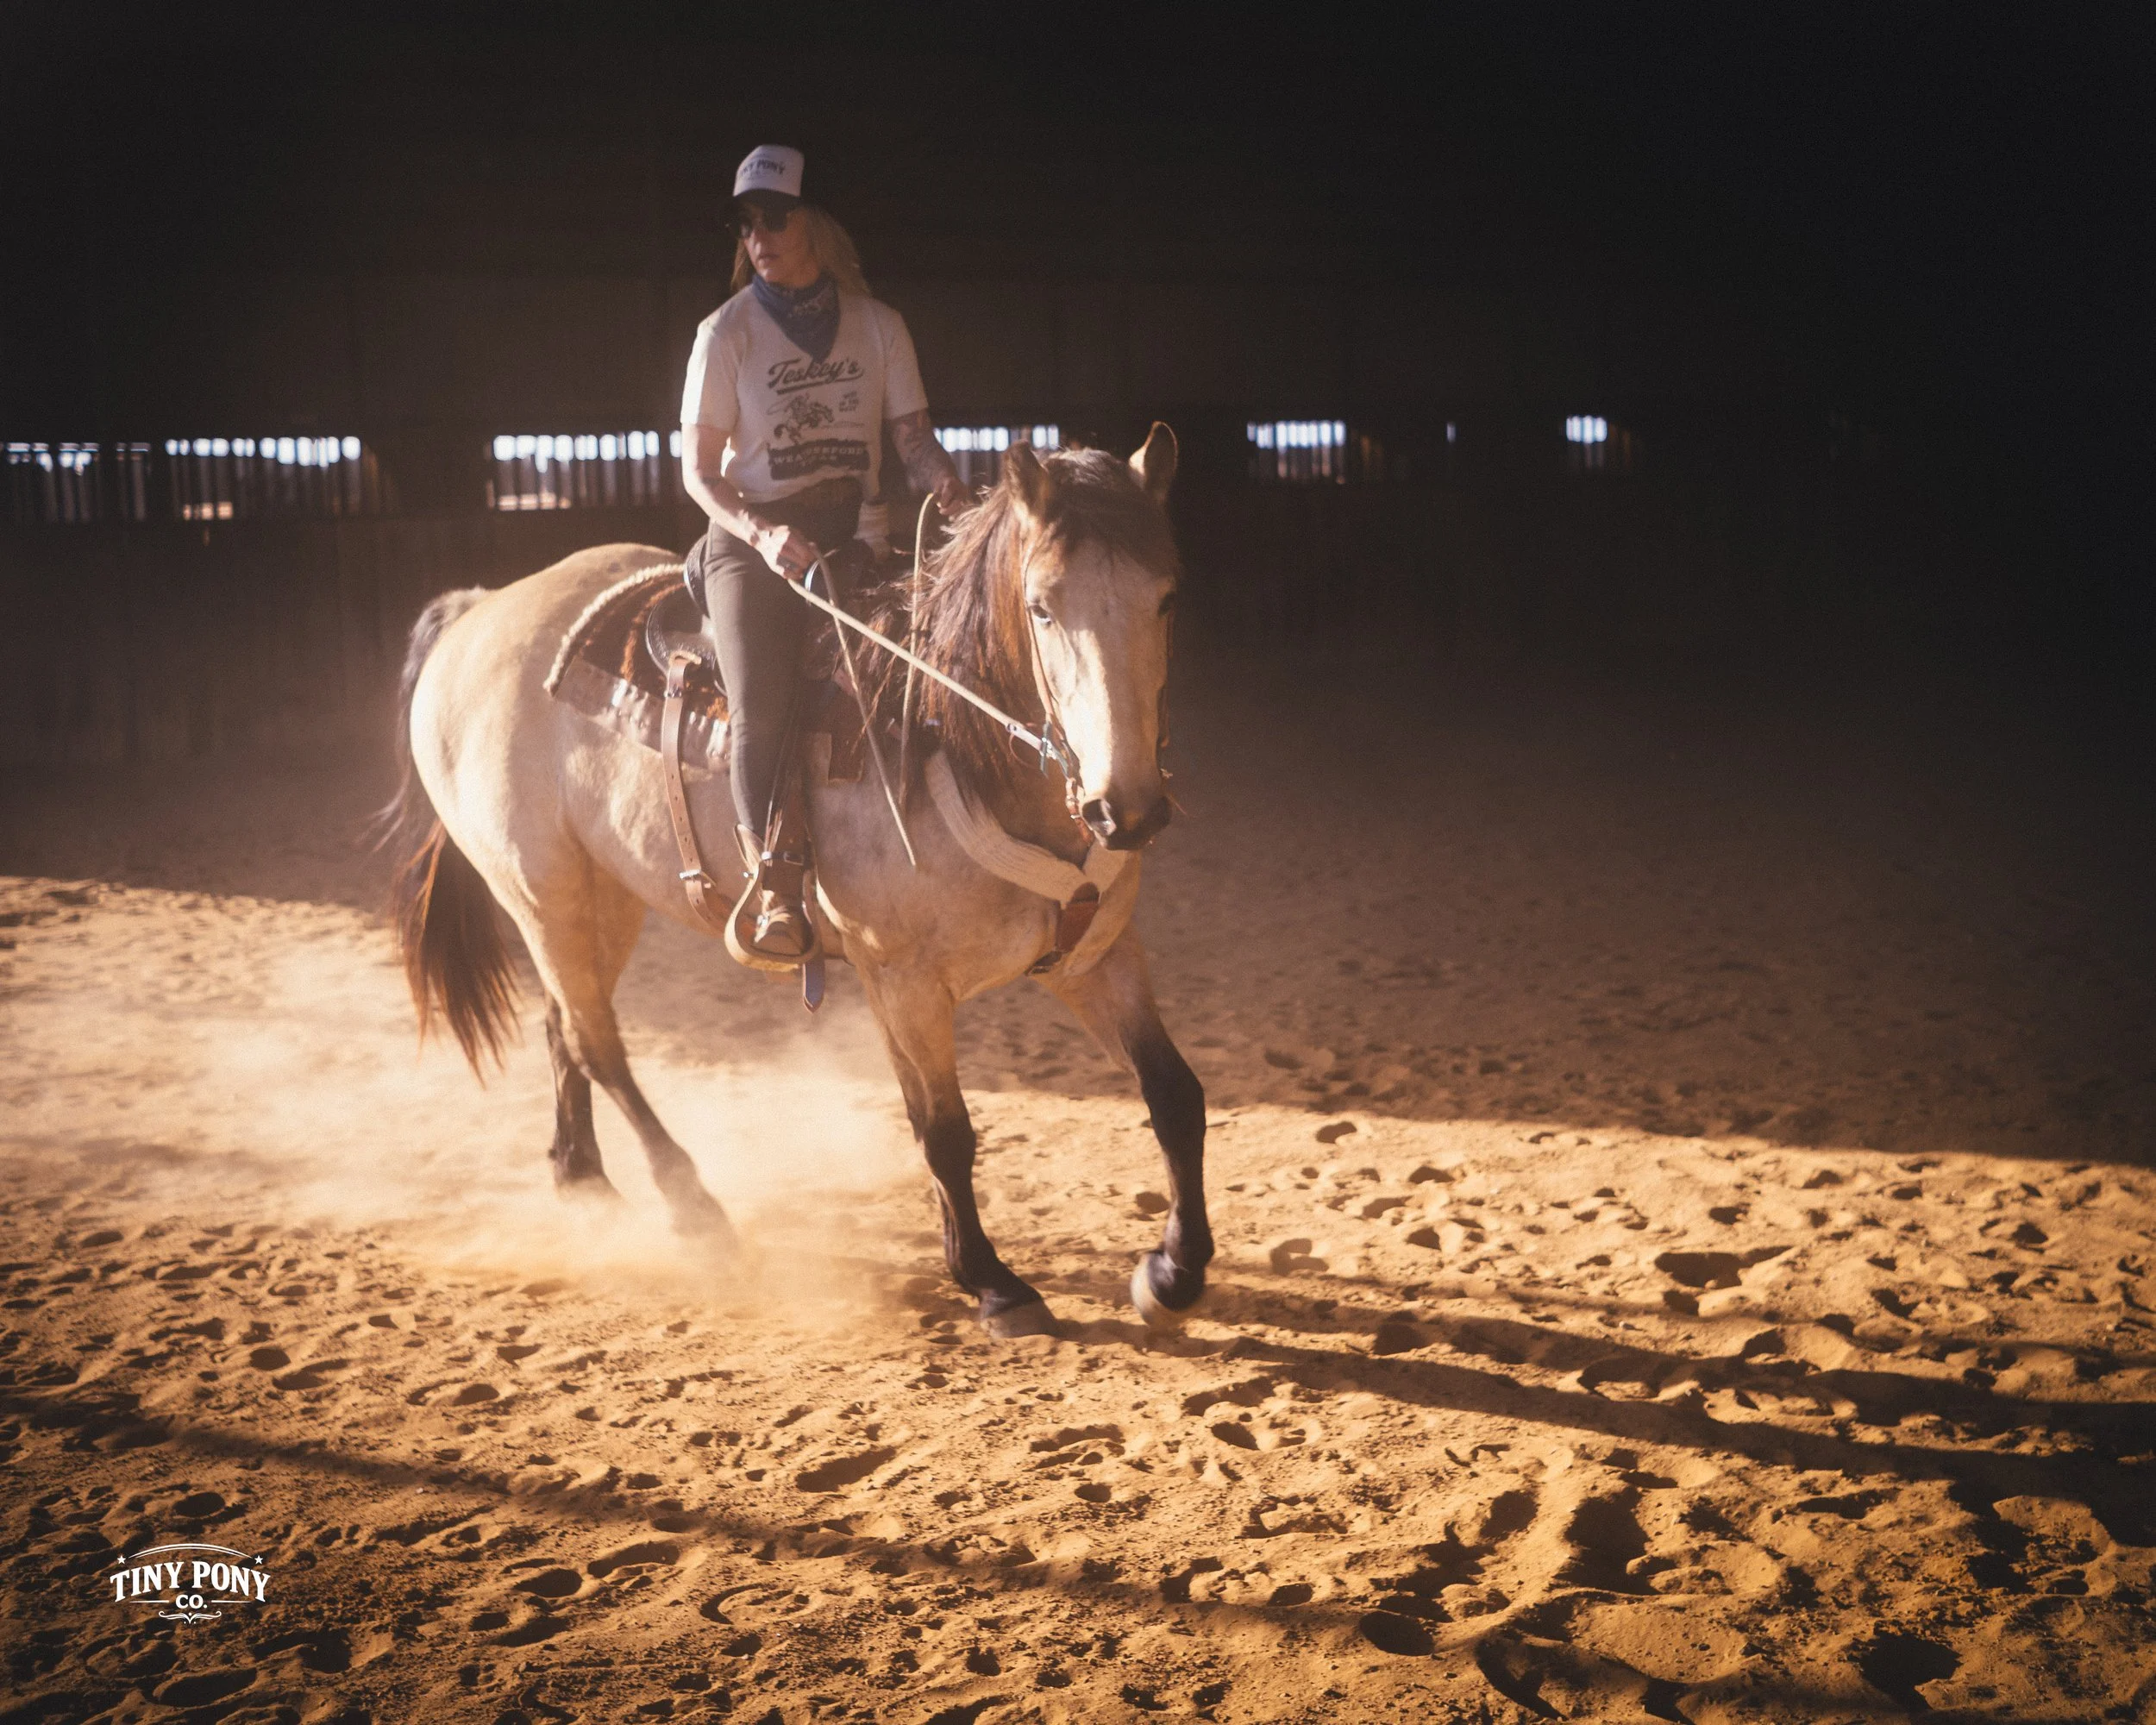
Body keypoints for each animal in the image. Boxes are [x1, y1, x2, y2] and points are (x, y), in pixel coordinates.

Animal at [380, 429, 1212, 1338]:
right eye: (1043, 607)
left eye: (1166, 598)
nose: (1125, 810)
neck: (955, 747)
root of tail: (479, 609)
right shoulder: (904, 983)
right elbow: (945, 1131)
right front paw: (994, 1283)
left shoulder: (1095, 957)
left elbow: (1175, 1095)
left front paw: (1173, 1270)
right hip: (540, 890)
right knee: (598, 1044)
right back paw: (693, 1207)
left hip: (605, 896)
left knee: (565, 1026)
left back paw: (584, 1180)